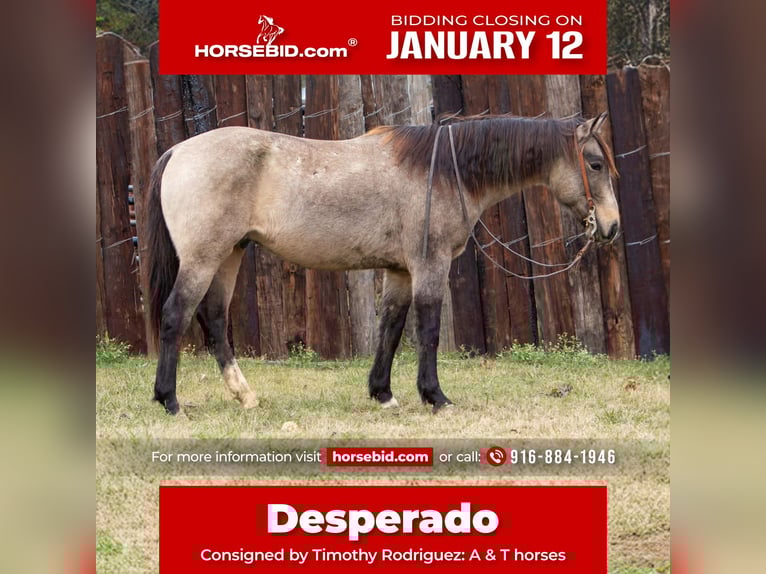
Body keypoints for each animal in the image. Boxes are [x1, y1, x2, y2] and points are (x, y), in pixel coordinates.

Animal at [147, 113, 620, 415]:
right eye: (595, 164)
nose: (611, 227)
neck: (444, 171)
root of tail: (177, 151)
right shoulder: (429, 265)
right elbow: (428, 329)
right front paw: (435, 397)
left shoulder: (400, 272)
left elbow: (390, 327)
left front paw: (383, 393)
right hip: (204, 258)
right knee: (176, 315)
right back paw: (169, 400)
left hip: (229, 254)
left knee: (212, 318)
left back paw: (244, 396)